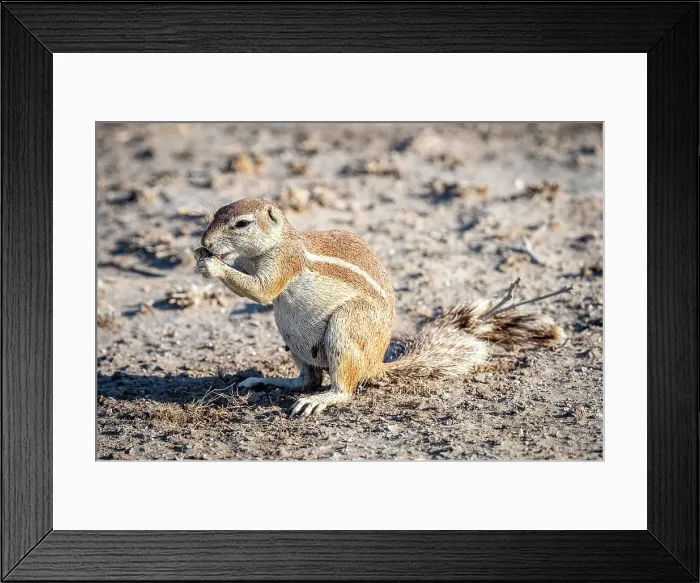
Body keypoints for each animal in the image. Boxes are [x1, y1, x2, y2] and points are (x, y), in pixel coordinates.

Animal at [195, 198, 567, 417]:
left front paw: (211, 264)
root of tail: (375, 365)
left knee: (340, 389)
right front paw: (203, 256)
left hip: (346, 328)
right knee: (307, 380)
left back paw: (320, 400)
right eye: (213, 216)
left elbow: (262, 291)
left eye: (242, 224)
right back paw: (266, 381)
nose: (204, 242)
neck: (278, 241)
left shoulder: (285, 262)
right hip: (290, 337)